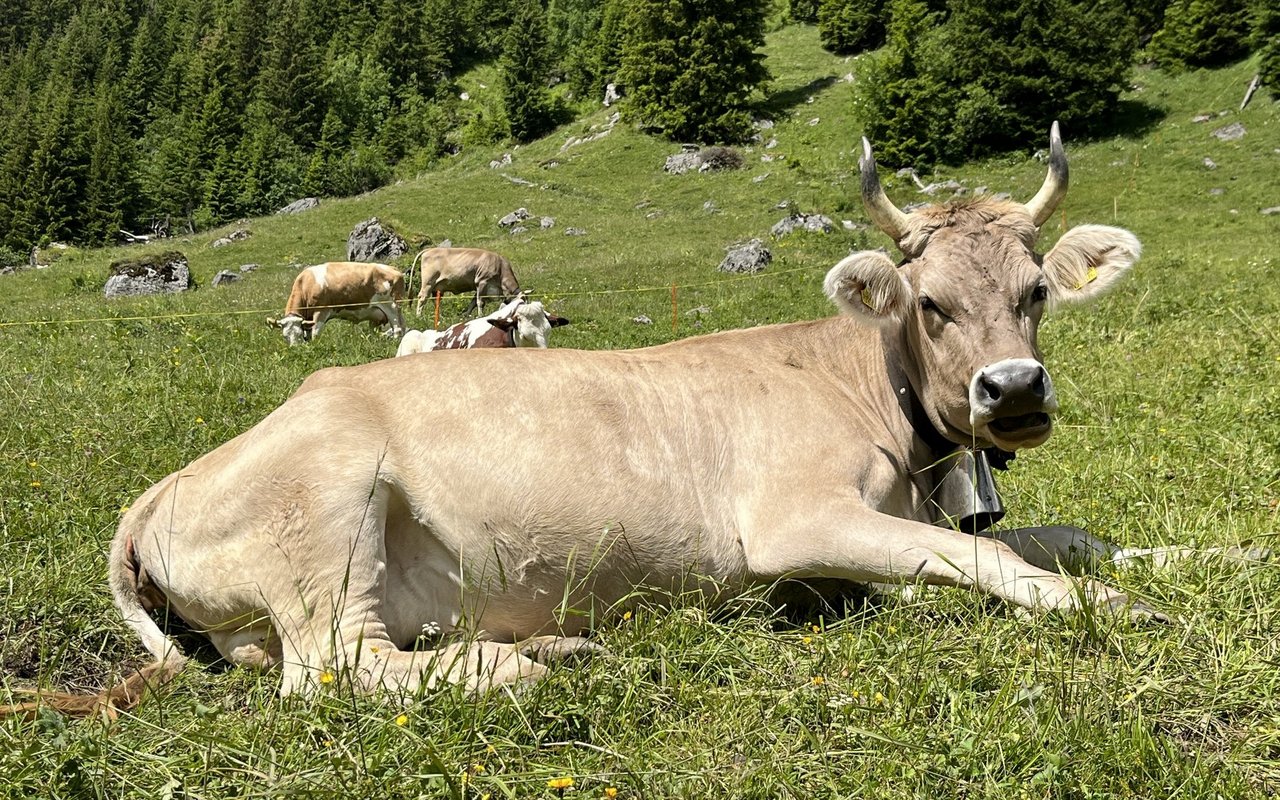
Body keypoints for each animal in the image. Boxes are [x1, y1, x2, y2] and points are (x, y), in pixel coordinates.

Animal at [268, 261, 404, 345]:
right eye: (285, 336)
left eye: (298, 334)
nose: (295, 349)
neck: (305, 284)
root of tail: (393, 269)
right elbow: (309, 334)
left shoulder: (321, 311)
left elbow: (315, 334)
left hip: (391, 306)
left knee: (397, 328)